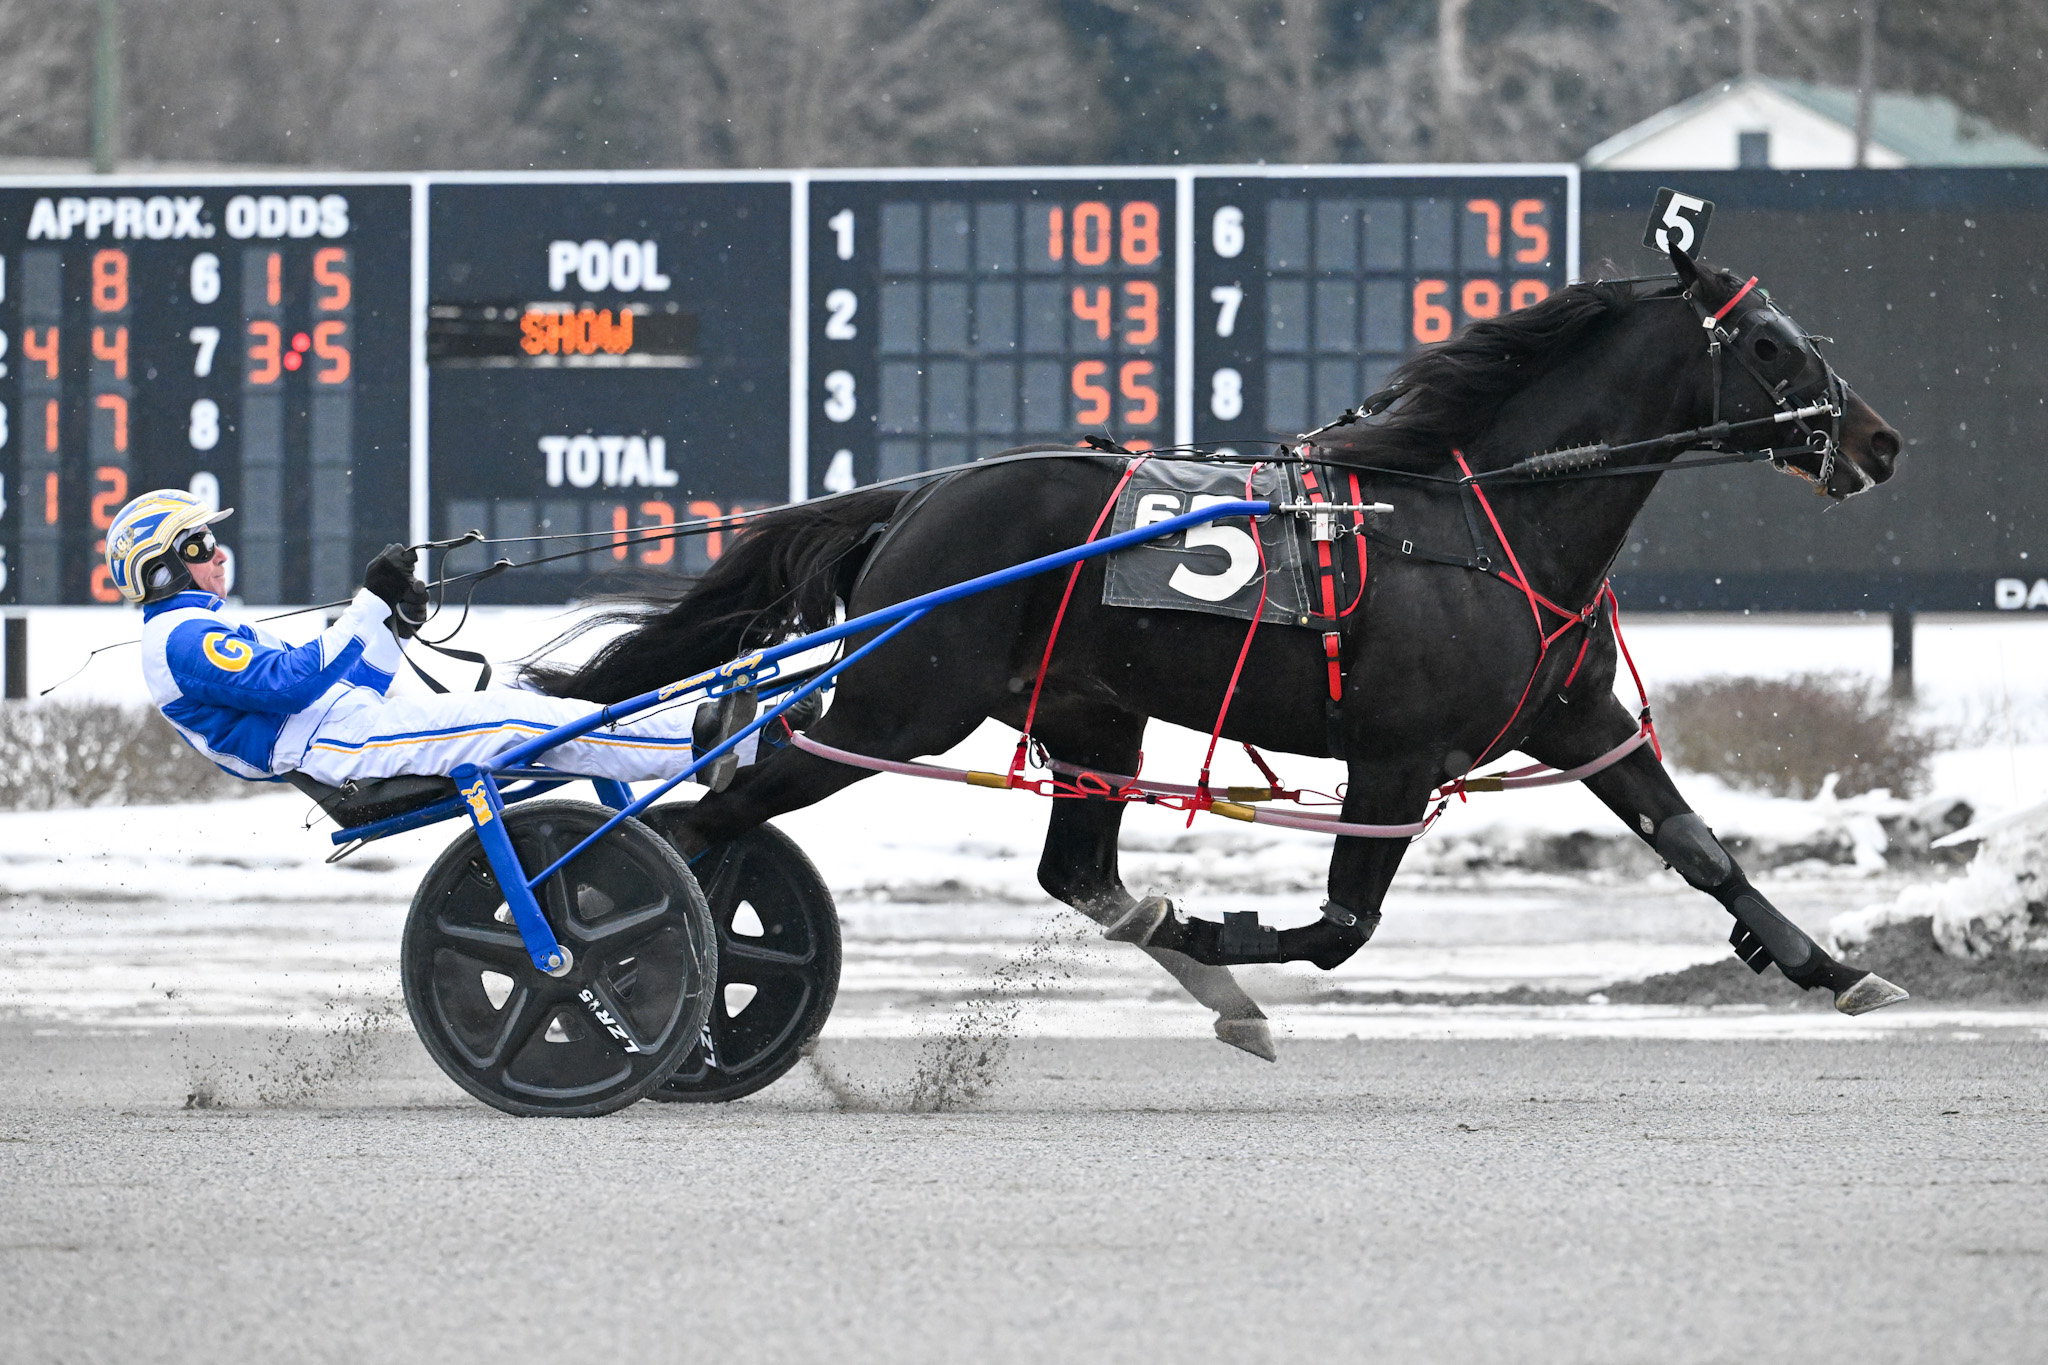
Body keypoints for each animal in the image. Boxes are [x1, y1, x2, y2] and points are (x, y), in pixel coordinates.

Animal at [536, 250, 1908, 1064]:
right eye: (1771, 345)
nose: (1878, 440)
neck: (1479, 516)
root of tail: (915, 498)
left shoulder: (1571, 719)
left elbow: (1699, 849)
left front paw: (1835, 970)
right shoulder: (1395, 756)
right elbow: (1340, 927)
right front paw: (1208, 927)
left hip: (1084, 716)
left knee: (1067, 868)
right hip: (895, 705)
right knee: (710, 806)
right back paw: (611, 964)